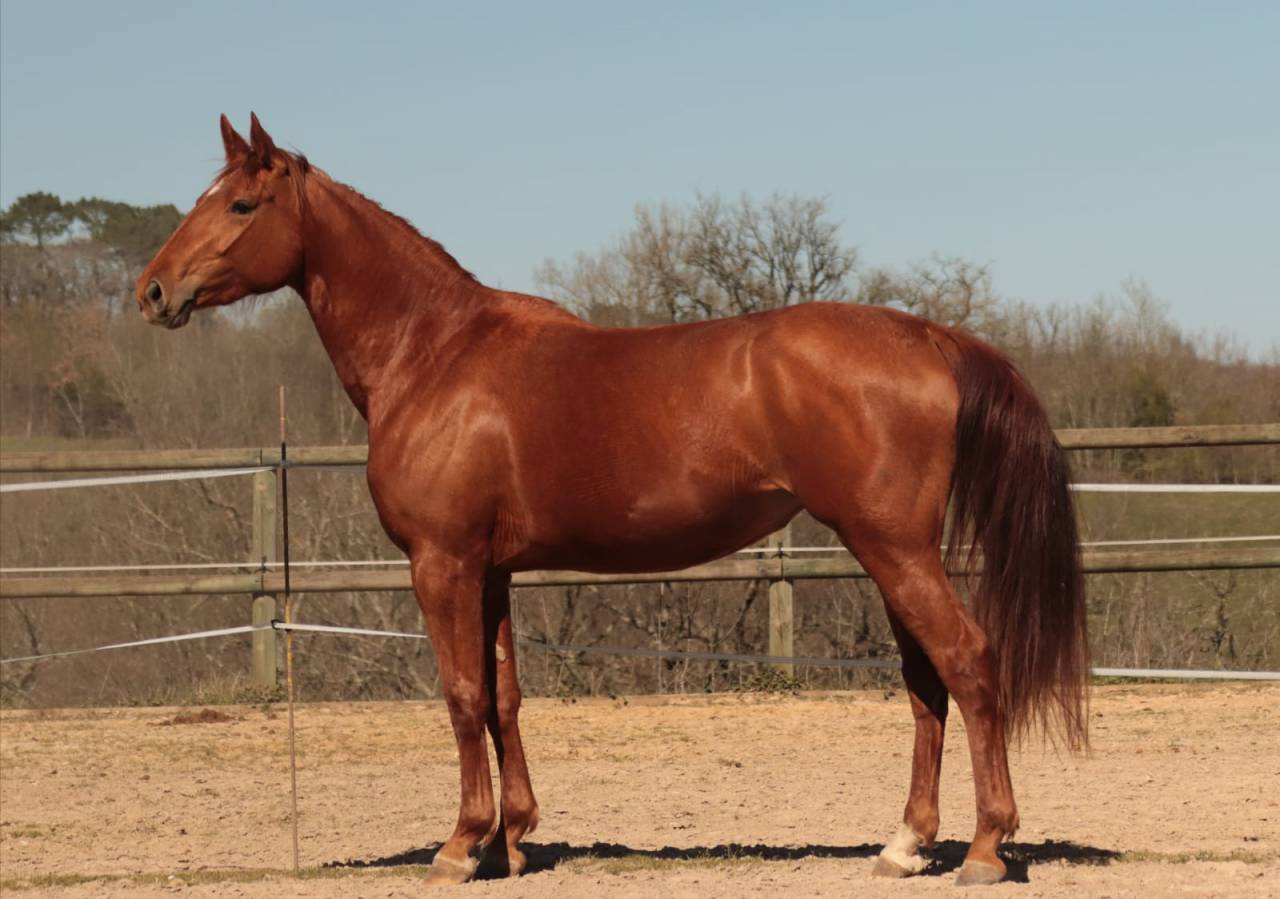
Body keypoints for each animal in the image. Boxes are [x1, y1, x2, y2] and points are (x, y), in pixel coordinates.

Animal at [137, 114, 1088, 887]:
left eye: (241, 205)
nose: (152, 290)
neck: (434, 353)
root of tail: (927, 333)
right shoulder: (492, 571)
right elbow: (504, 695)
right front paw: (513, 840)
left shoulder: (442, 564)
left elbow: (461, 693)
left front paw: (460, 845)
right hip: (886, 549)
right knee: (928, 681)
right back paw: (905, 844)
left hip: (893, 545)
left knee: (967, 660)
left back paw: (985, 848)